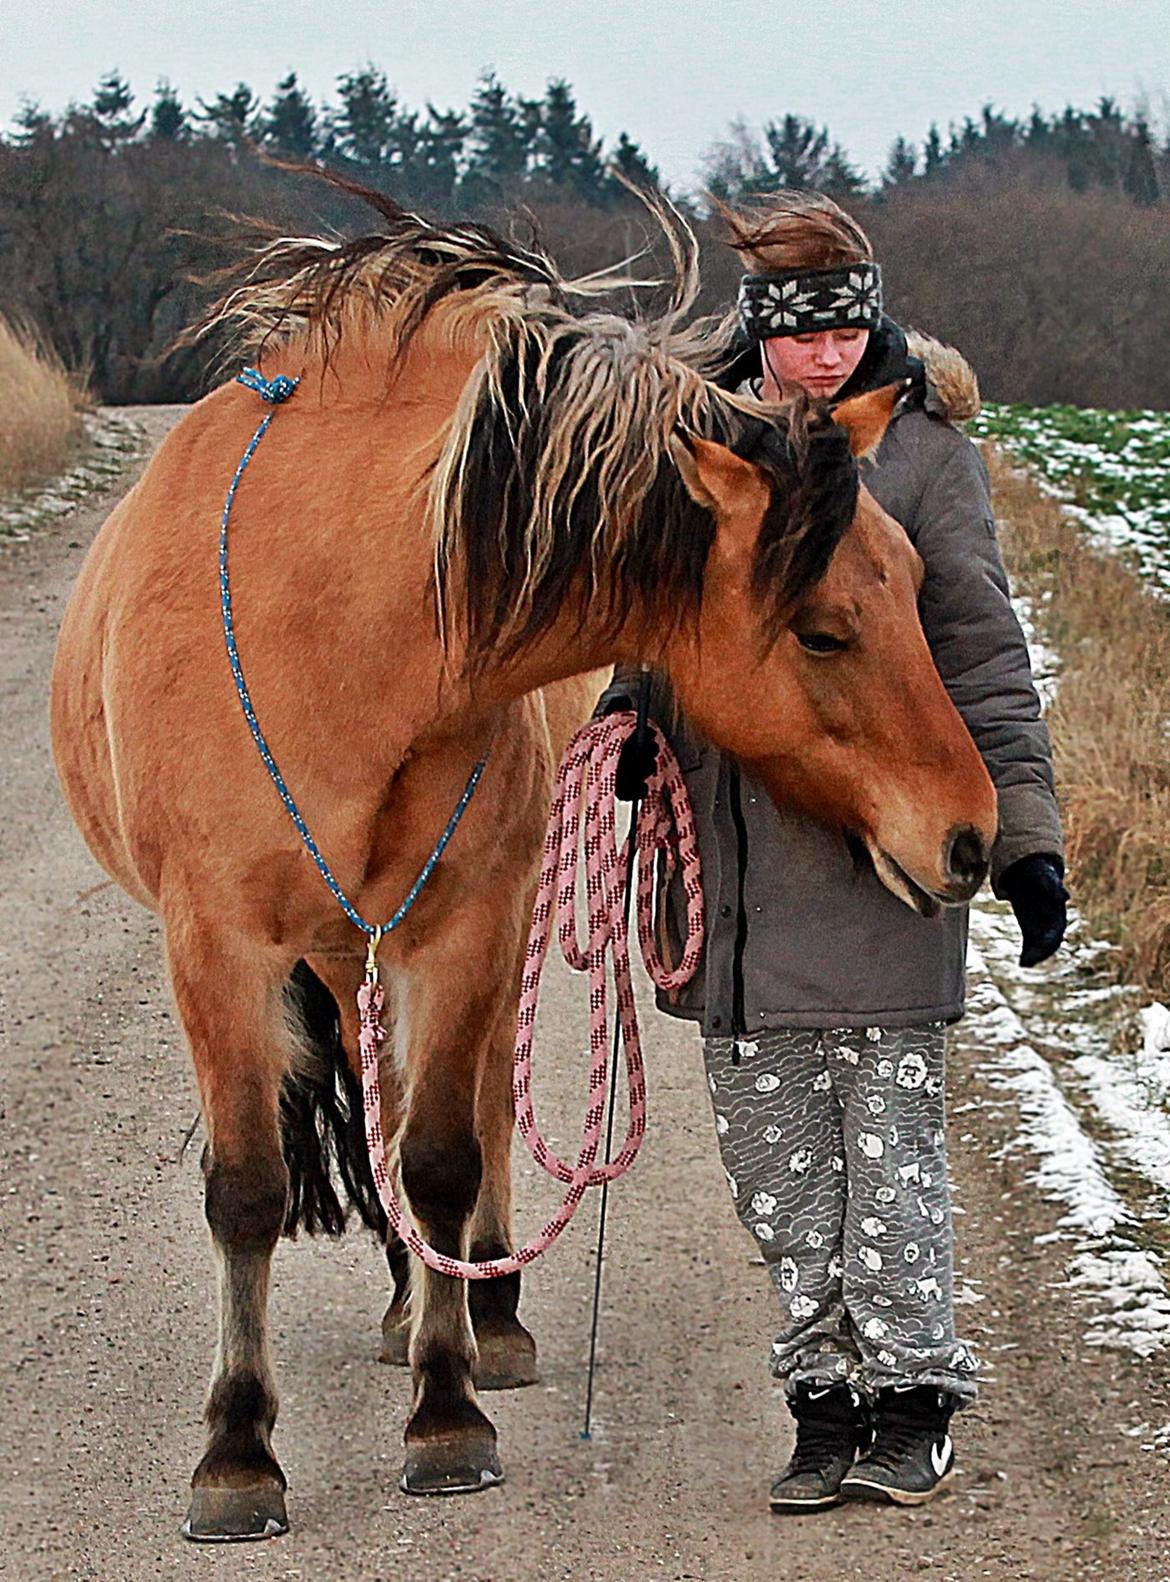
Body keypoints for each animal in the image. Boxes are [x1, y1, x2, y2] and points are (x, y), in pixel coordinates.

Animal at [48, 176, 999, 1544]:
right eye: (825, 630)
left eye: (923, 582)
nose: (971, 835)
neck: (335, 626)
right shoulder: (217, 949)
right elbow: (249, 1191)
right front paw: (236, 1452)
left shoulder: (466, 924)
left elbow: (446, 1156)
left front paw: (448, 1411)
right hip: (341, 950)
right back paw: (407, 1301)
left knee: (464, 1111)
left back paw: (470, 1313)